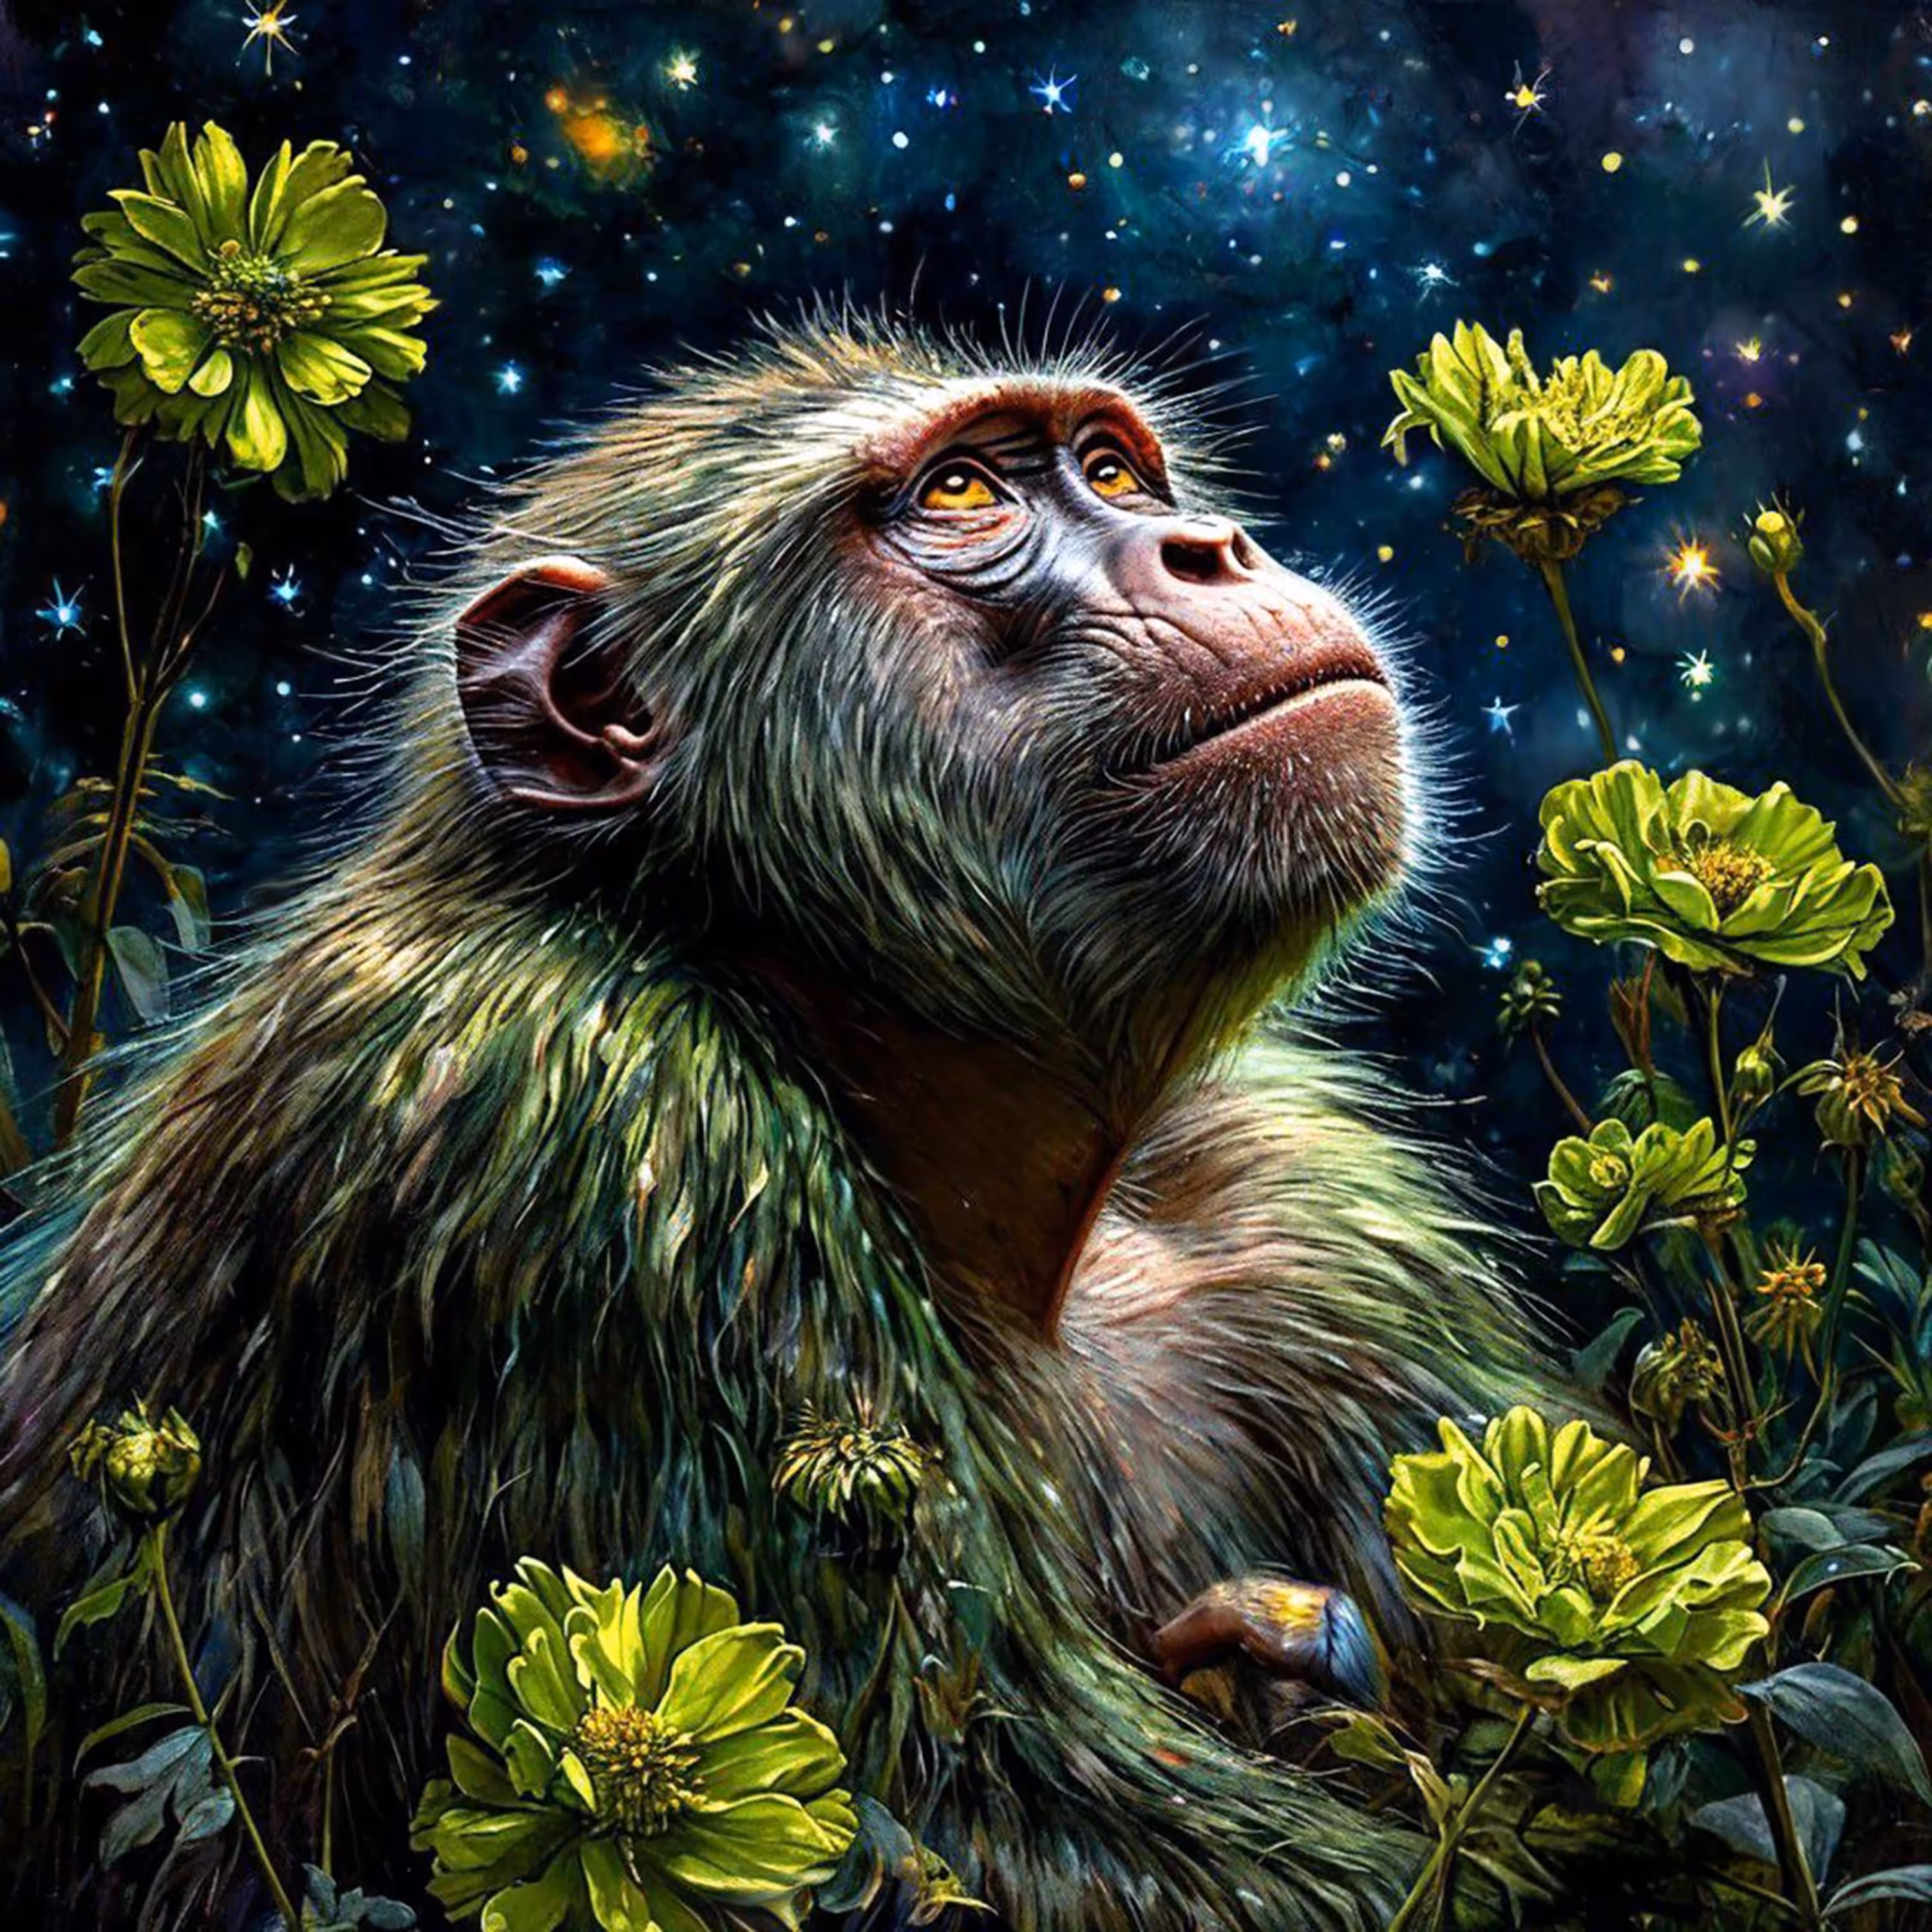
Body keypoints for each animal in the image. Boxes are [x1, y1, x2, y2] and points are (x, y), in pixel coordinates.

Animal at [0, 311, 1564, 1931]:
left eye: (1114, 471)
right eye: (960, 495)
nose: (1206, 545)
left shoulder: (1314, 1223)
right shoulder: (600, 1138)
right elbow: (946, 1829)